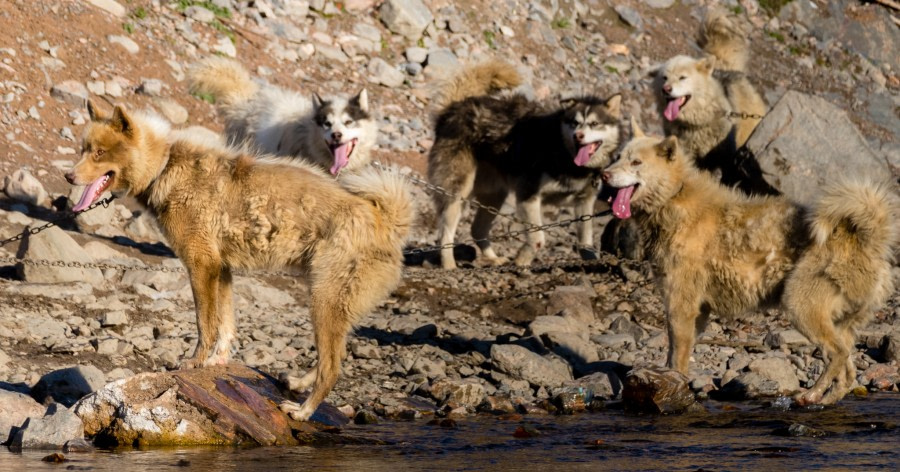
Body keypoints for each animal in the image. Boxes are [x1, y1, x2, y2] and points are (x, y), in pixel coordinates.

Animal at [67, 102, 414, 420]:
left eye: (99, 152)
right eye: (84, 149)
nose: (68, 175)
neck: (165, 166)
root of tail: (386, 220)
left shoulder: (201, 265)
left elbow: (205, 324)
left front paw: (194, 362)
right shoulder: (221, 269)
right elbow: (226, 324)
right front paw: (216, 361)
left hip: (324, 301)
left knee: (332, 369)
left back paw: (303, 411)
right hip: (331, 305)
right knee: (332, 359)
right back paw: (298, 383)